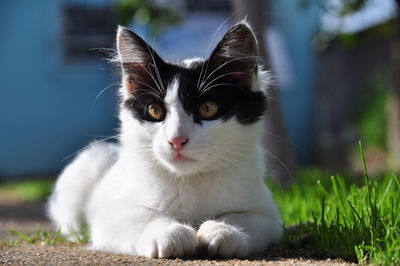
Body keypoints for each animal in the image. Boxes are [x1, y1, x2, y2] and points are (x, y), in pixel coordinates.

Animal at [48, 20, 282, 258]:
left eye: (208, 108)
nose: (176, 140)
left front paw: (224, 230)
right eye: (155, 110)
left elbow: (249, 218)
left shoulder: (267, 213)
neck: (189, 180)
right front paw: (169, 233)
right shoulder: (110, 213)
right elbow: (141, 215)